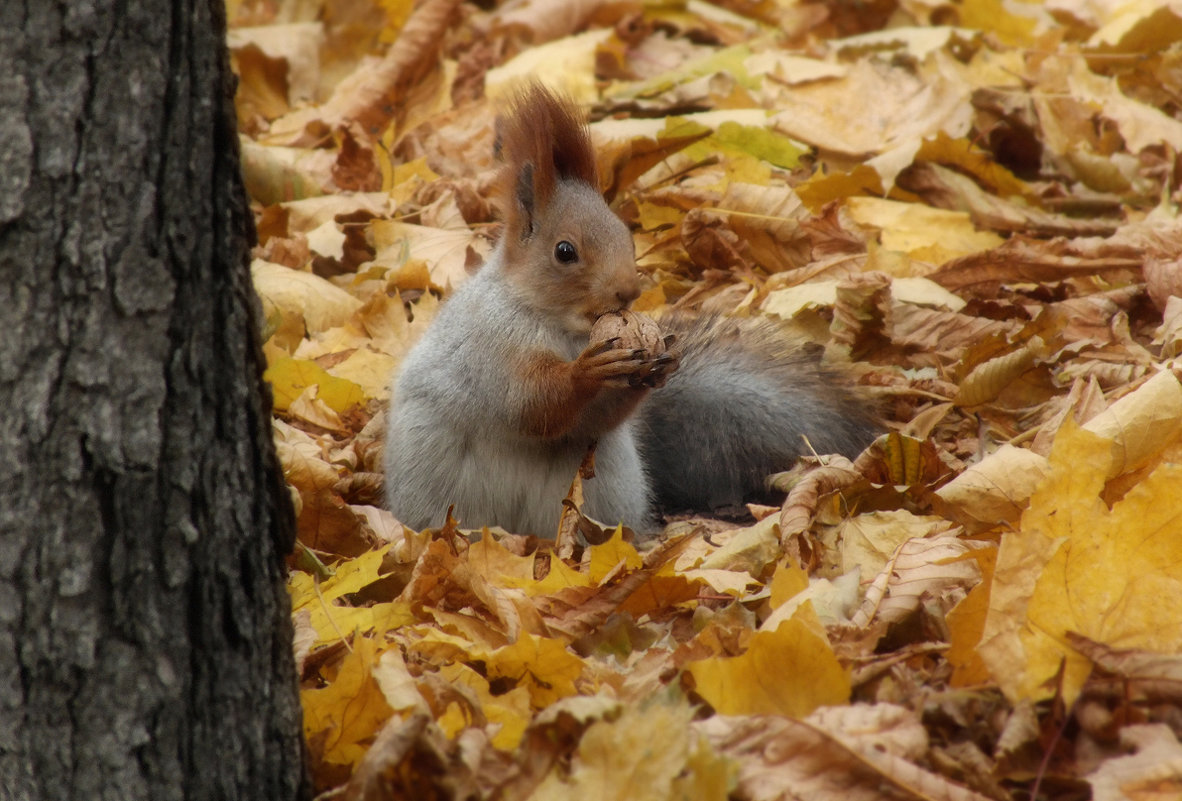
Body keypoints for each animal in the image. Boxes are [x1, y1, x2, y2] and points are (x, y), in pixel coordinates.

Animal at [380, 84, 879, 538]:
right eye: (564, 251)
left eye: (627, 234)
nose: (628, 291)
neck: (559, 326)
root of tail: (517, 534)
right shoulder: (488, 346)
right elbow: (529, 403)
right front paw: (586, 372)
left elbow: (589, 420)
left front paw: (660, 365)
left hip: (603, 484)